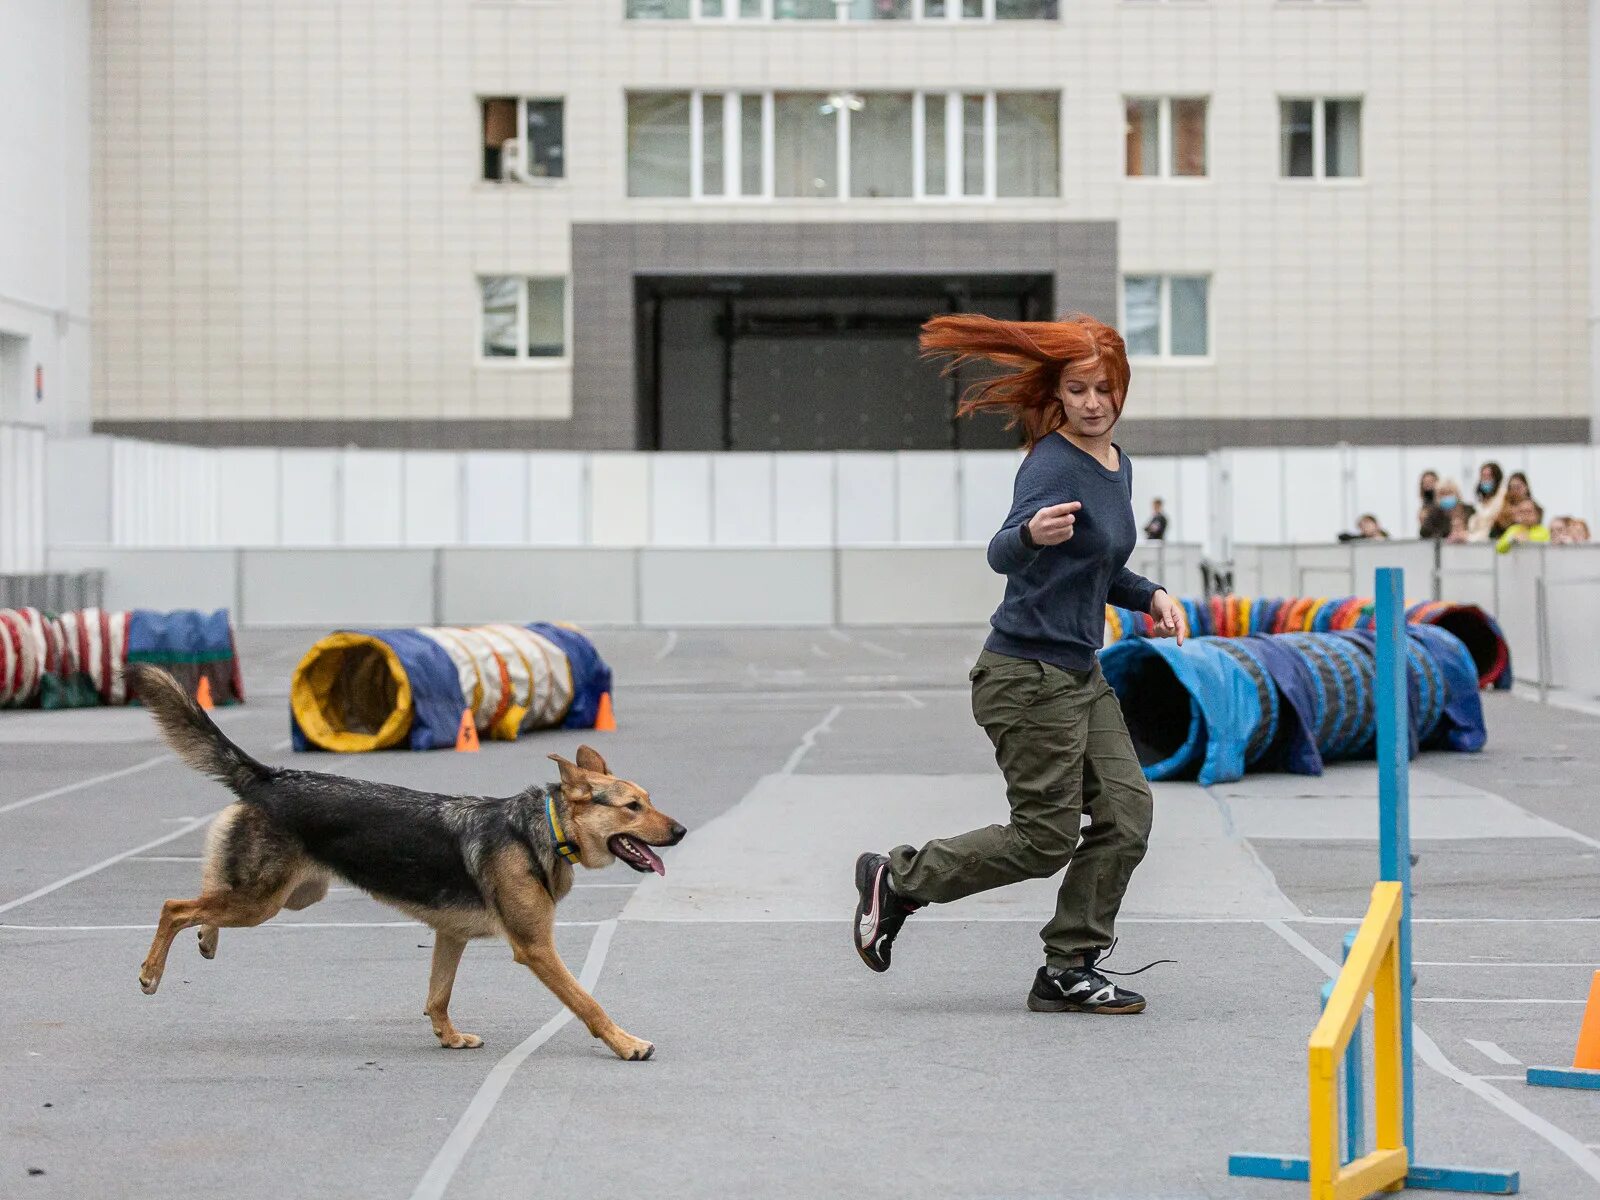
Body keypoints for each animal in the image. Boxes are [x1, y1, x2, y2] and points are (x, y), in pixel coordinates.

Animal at [129, 662, 688, 1068]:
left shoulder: (451, 935)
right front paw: (626, 1043)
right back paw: (152, 973)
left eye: (649, 801)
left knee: (206, 895)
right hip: (262, 901)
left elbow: (438, 996)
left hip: (287, 896)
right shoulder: (535, 949)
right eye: (632, 808)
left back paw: (207, 938)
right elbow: (588, 1002)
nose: (682, 831)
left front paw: (449, 1037)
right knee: (175, 906)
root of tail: (270, 776)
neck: (545, 830)